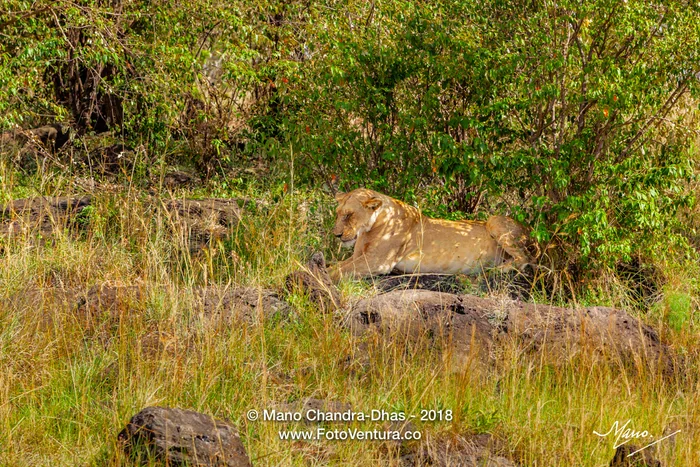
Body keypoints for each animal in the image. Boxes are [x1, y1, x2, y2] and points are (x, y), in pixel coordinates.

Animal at [329, 188, 536, 280]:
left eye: (349, 215)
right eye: (338, 213)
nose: (336, 235)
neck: (368, 230)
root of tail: (531, 231)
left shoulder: (378, 261)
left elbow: (339, 271)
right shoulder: (360, 256)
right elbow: (335, 267)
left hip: (494, 220)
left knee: (525, 258)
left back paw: (493, 270)